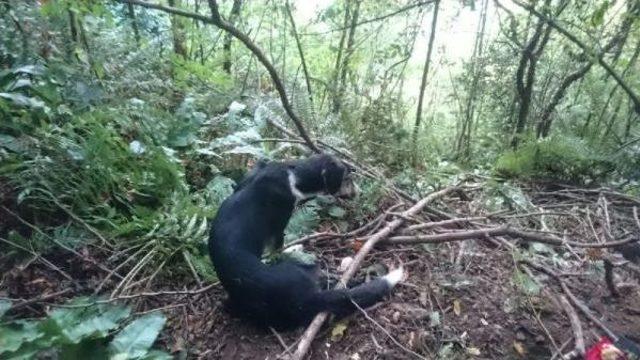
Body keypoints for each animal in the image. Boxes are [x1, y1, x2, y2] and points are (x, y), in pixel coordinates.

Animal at [208, 153, 402, 330]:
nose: (360, 193)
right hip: (308, 269)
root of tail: (303, 299)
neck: (293, 174)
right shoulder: (279, 226)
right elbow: (279, 247)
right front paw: (292, 248)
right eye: (347, 178)